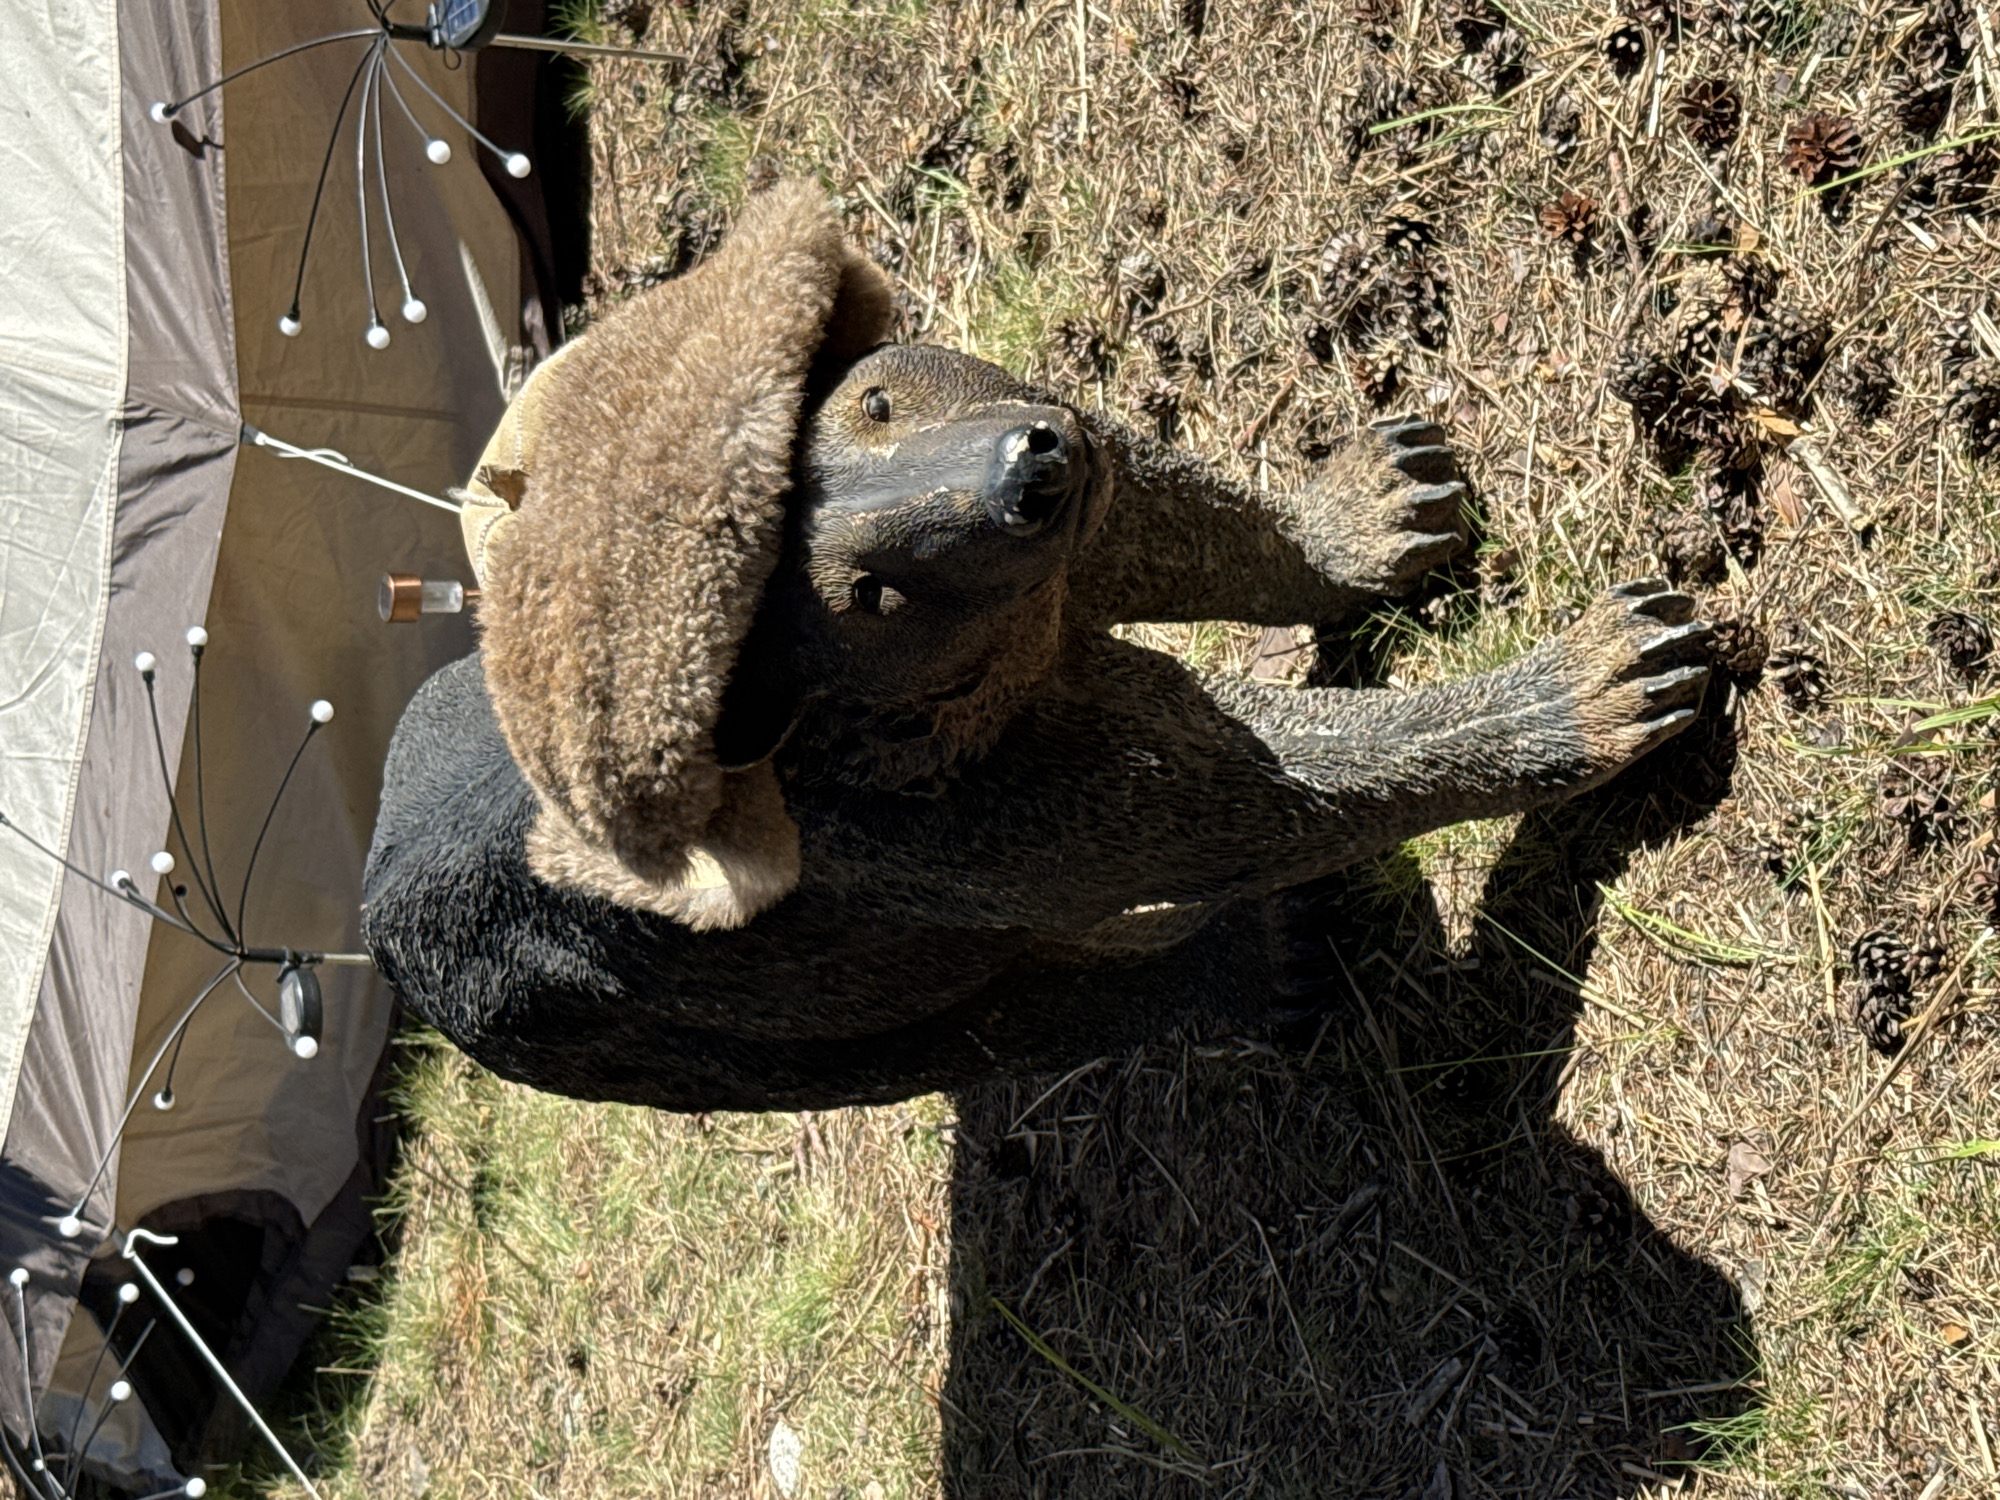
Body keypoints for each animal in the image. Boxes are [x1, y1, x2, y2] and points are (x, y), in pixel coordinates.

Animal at [361, 182, 1712, 1112]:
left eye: (871, 404)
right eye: (864, 598)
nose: (1026, 470)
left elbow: (1166, 522)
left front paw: (1372, 507)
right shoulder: (956, 826)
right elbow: (1253, 795)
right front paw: (1601, 678)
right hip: (641, 1028)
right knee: (990, 1018)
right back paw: (1260, 969)